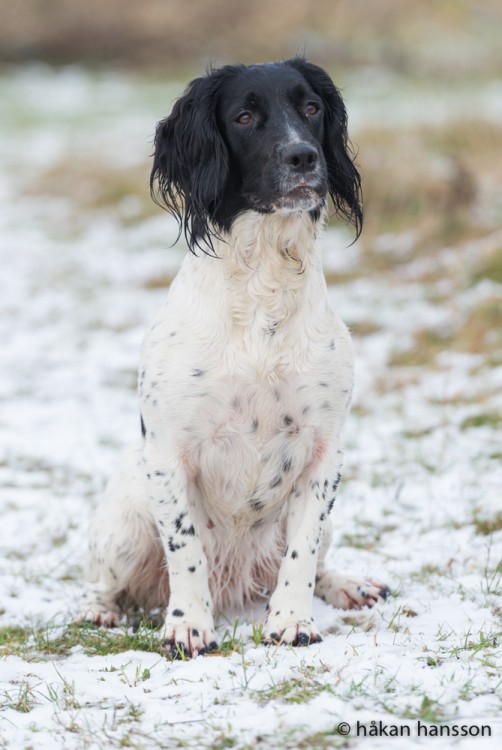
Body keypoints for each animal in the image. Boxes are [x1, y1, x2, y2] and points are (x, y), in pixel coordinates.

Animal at [79, 58, 392, 656]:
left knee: (316, 560)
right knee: (103, 581)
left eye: (311, 108)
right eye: (244, 117)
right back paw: (98, 610)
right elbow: (186, 549)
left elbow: (301, 553)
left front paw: (292, 622)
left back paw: (351, 585)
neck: (265, 280)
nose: (304, 157)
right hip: (126, 525)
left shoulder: (325, 454)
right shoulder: (169, 453)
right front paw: (187, 625)